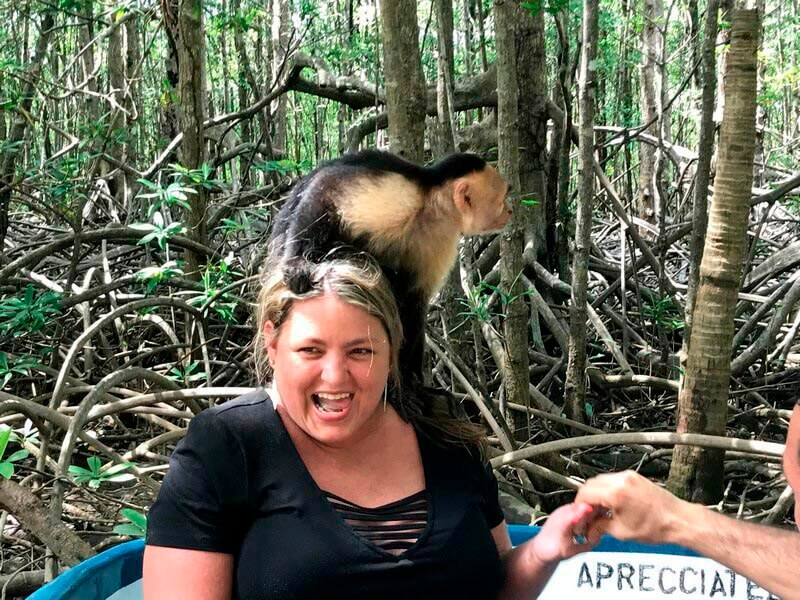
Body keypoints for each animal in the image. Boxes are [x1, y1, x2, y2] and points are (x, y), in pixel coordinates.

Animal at [267, 149, 511, 382]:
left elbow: (414, 301)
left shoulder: (441, 240)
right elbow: (328, 188)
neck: (433, 212)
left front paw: (409, 372)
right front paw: (297, 264)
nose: (510, 211)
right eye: (501, 201)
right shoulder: (403, 197)